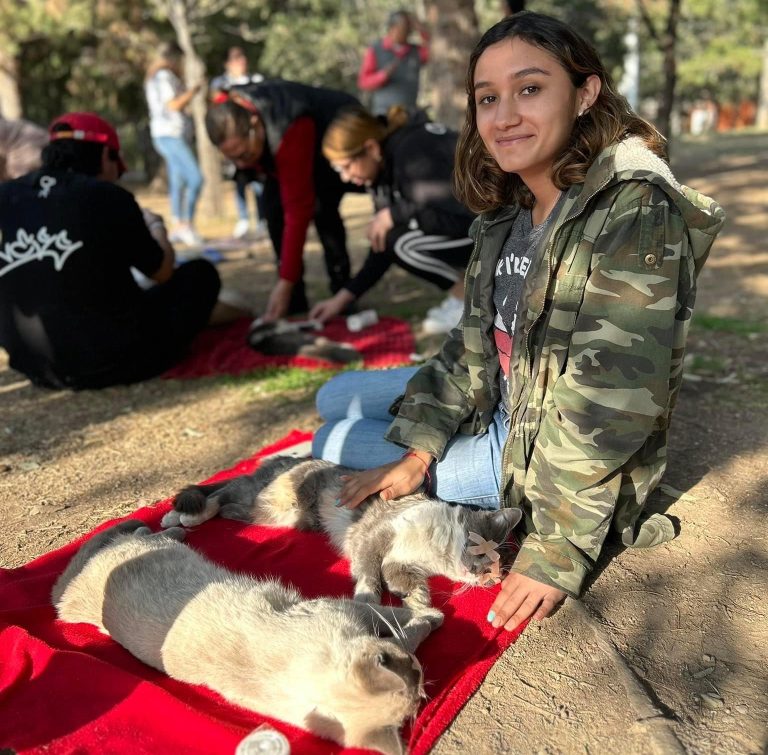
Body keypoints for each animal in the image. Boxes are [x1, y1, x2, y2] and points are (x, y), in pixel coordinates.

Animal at [52, 520, 444, 755]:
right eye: (416, 676)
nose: (421, 672)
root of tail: (72, 605)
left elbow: (394, 619)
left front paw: (426, 616)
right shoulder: (346, 611)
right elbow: (400, 622)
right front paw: (431, 617)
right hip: (131, 556)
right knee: (121, 538)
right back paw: (165, 527)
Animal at [161, 458, 520, 612]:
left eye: (497, 573)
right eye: (487, 556)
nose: (491, 580)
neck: (432, 550)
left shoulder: (400, 563)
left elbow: (402, 580)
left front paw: (417, 601)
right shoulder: (371, 535)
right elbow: (368, 573)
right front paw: (368, 600)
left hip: (270, 514)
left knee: (228, 505)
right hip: (270, 496)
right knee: (221, 492)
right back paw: (179, 515)